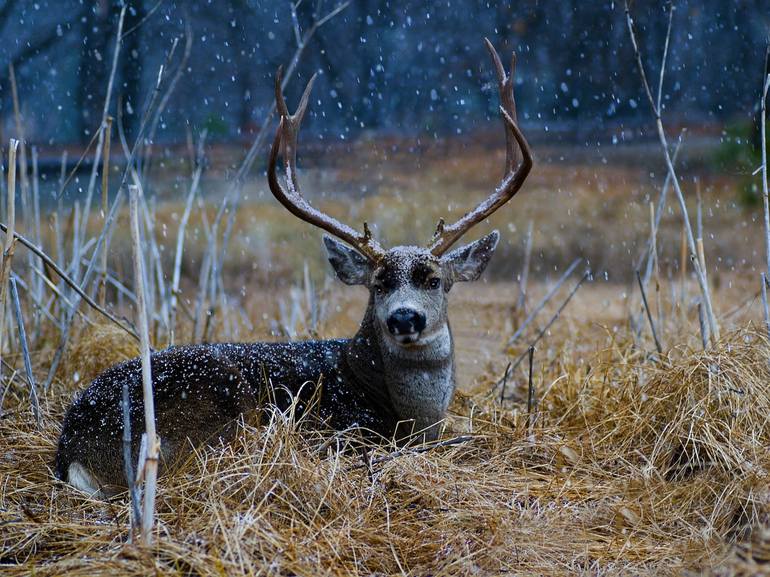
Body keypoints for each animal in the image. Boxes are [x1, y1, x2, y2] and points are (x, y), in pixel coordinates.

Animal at [54, 39, 532, 500]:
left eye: (435, 280)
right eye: (378, 284)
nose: (404, 318)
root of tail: (70, 444)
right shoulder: (347, 430)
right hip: (214, 408)